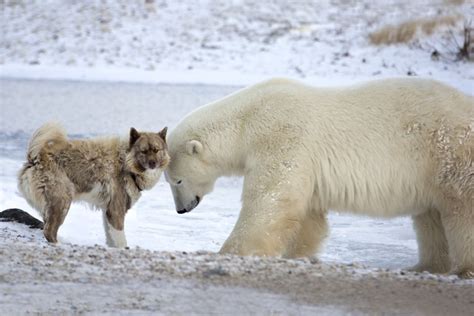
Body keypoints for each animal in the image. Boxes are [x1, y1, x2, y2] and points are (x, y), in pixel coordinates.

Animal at [164, 78, 474, 278]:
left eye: (176, 181)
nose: (181, 209)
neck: (247, 121)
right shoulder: (307, 165)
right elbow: (308, 215)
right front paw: (298, 255)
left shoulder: (282, 136)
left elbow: (271, 200)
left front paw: (230, 252)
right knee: (431, 218)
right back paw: (426, 266)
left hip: (449, 151)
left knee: (461, 210)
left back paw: (463, 268)